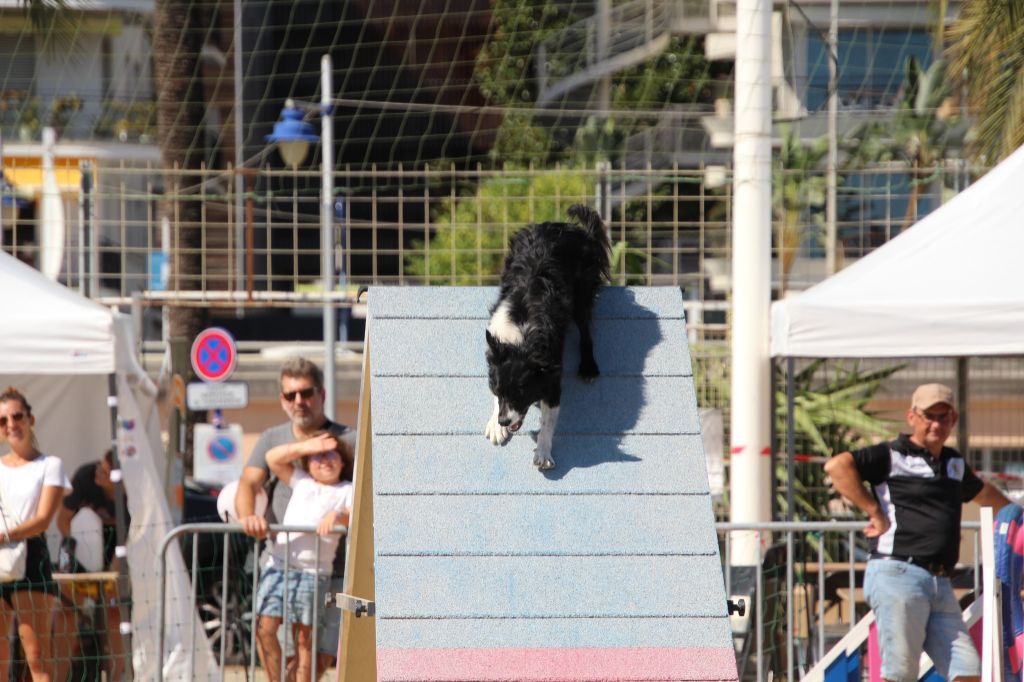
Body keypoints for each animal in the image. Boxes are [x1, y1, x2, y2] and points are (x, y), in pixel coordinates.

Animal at [481, 201, 606, 466]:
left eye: (521, 392)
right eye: (499, 390)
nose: (504, 421)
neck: (520, 339)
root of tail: (569, 227)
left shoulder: (551, 373)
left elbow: (548, 422)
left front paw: (543, 452)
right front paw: (495, 426)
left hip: (582, 291)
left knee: (586, 329)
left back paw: (588, 367)